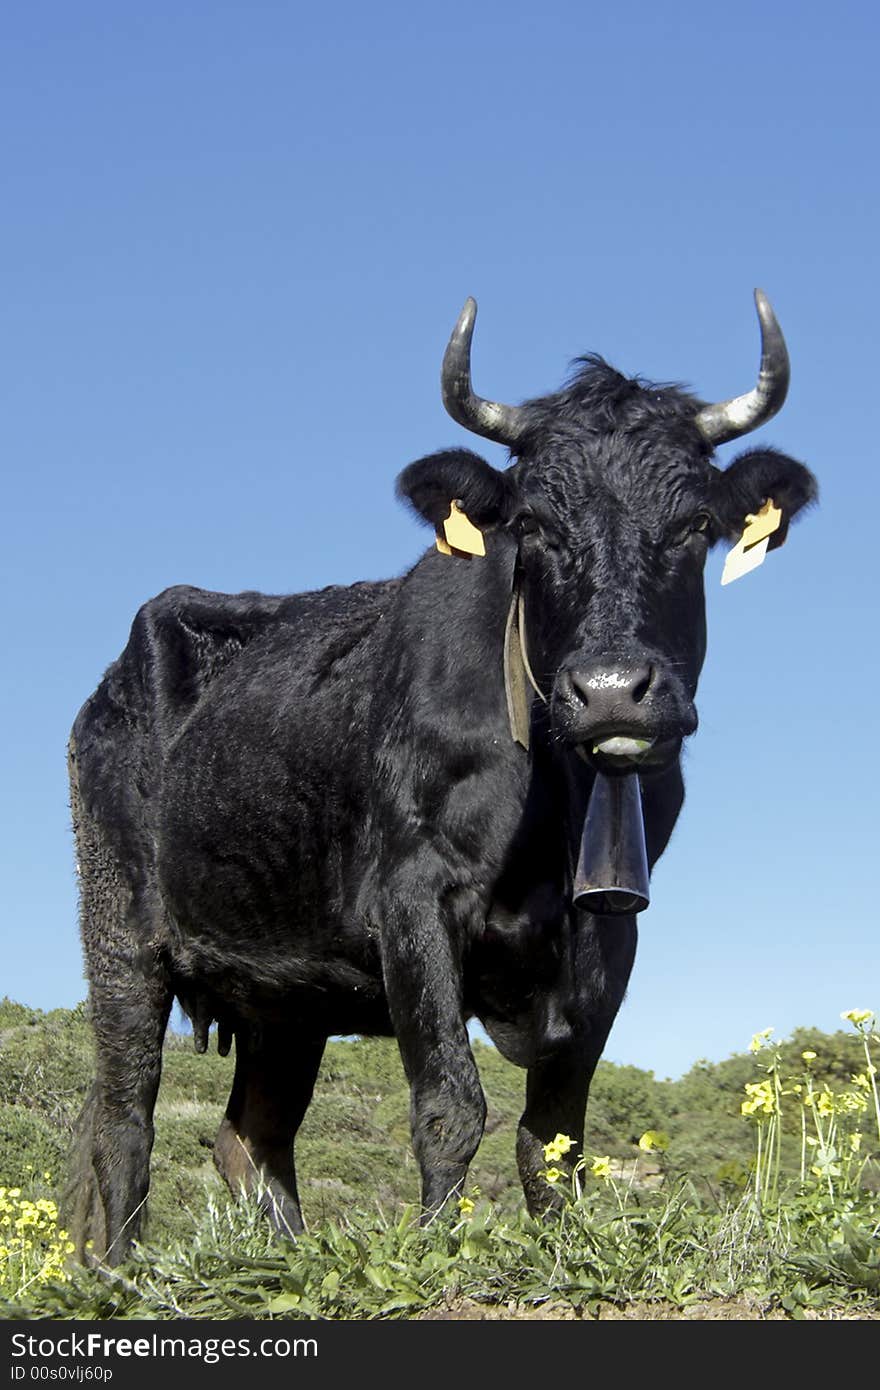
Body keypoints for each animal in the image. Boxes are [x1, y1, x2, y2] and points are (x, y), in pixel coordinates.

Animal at [68, 290, 817, 1262]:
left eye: (694, 526)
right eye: (533, 526)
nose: (613, 690)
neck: (550, 811)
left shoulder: (613, 924)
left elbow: (555, 1133)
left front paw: (562, 1247)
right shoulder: (412, 898)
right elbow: (449, 1104)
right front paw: (433, 1247)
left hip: (286, 993)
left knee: (252, 1137)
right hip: (120, 930)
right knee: (126, 1121)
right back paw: (118, 1272)